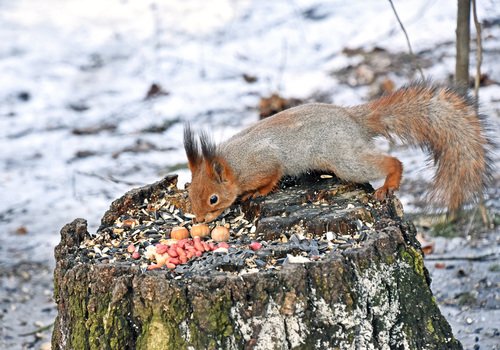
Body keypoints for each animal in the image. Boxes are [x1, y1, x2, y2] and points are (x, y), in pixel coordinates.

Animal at [184, 82, 492, 221]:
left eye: (213, 199)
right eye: (189, 193)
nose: (199, 220)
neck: (233, 164)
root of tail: (353, 119)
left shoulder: (264, 161)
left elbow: (272, 176)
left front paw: (258, 192)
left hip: (344, 158)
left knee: (390, 161)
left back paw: (389, 183)